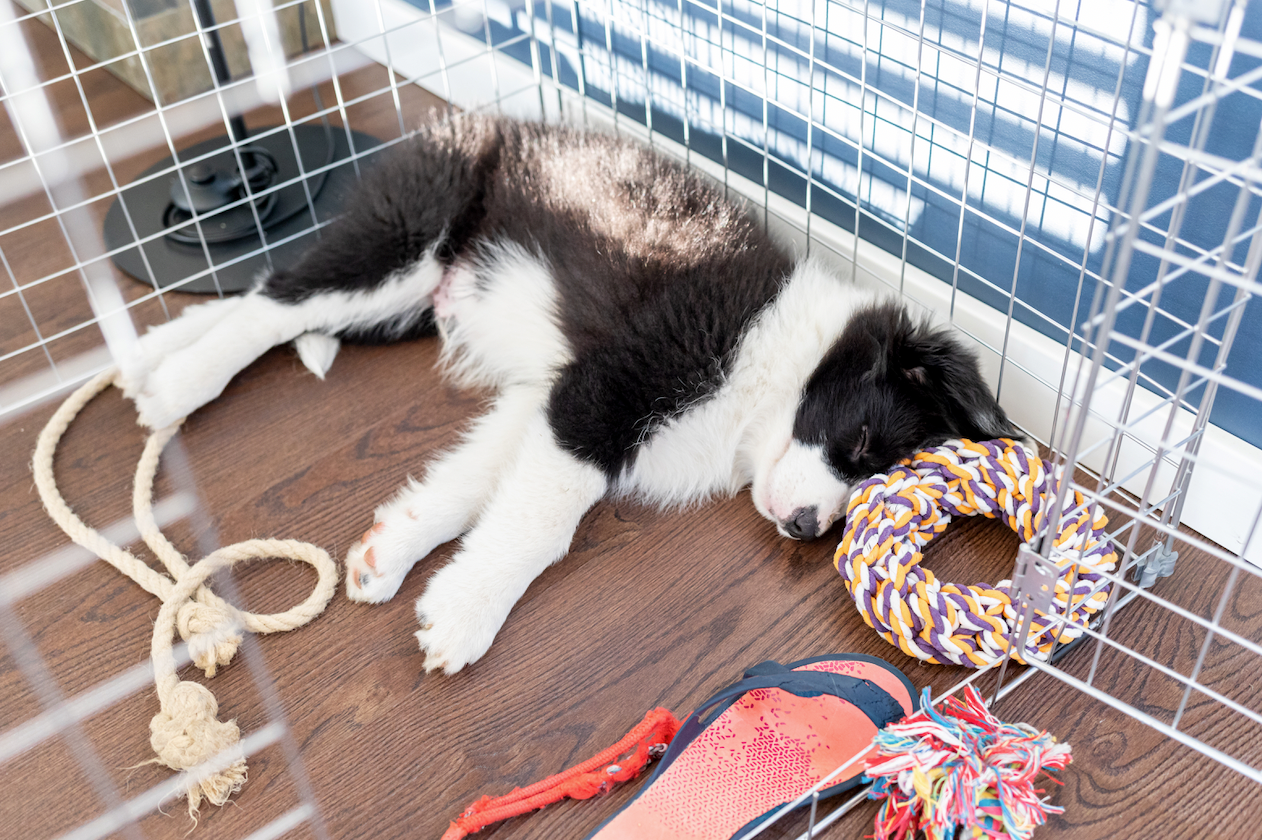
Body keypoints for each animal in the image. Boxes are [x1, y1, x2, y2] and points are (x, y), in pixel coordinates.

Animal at [120, 114, 1024, 670]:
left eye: (875, 479)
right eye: (863, 443)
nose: (806, 528)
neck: (772, 367)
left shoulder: (551, 397)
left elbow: (475, 485)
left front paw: (396, 552)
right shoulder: (611, 387)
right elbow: (545, 520)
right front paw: (467, 615)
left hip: (399, 300)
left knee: (278, 292)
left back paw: (149, 358)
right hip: (410, 242)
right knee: (280, 299)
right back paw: (177, 386)